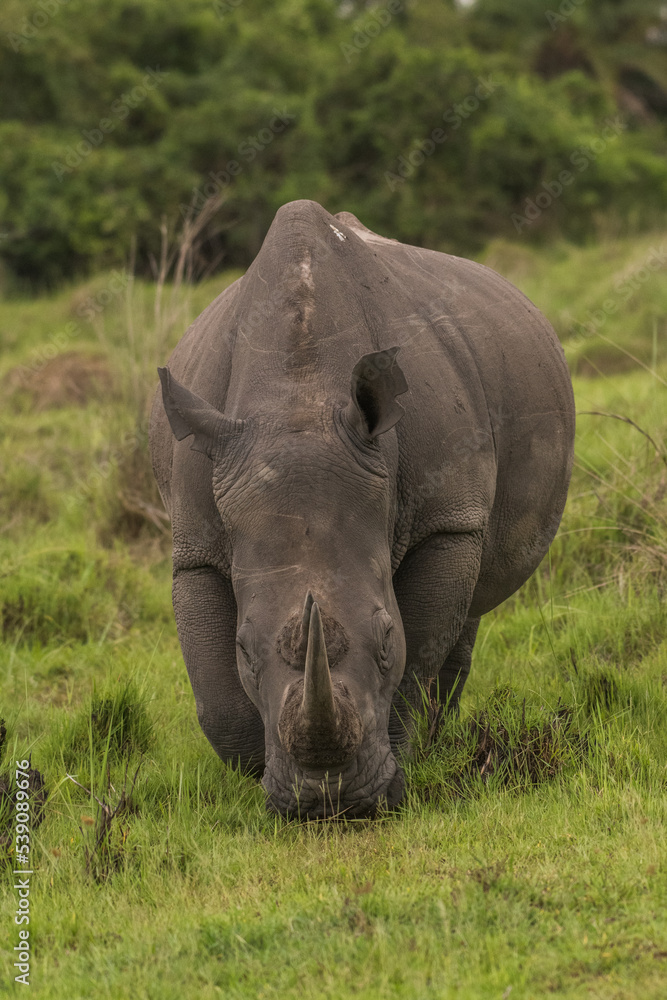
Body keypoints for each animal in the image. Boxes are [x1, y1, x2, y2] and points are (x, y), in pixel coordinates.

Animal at [149, 199, 575, 819]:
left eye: (386, 638)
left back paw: (440, 738)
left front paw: (404, 765)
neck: (298, 395)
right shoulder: (196, 543)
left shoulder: (446, 520)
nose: (329, 804)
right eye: (244, 649)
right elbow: (217, 697)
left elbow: (418, 656)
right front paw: (254, 775)